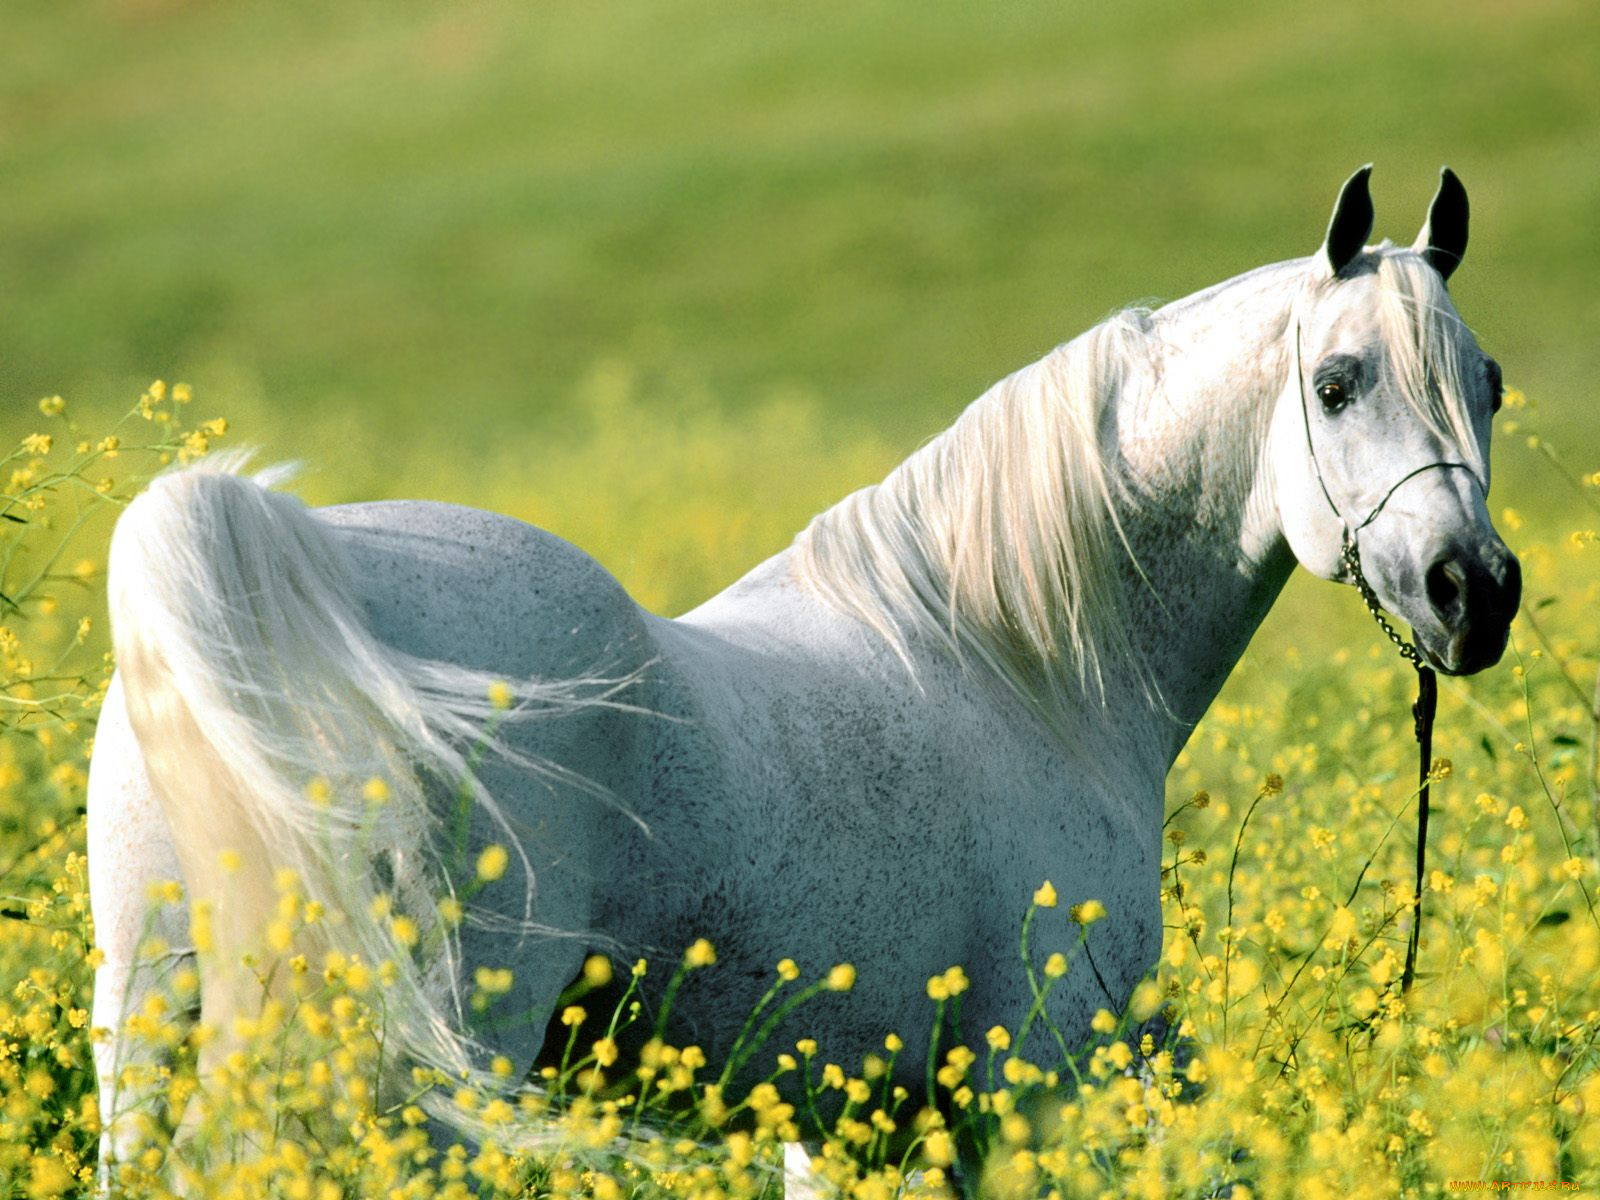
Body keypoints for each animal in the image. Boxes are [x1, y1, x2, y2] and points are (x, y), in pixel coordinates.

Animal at [86, 165, 1520, 1176]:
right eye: (1335, 383)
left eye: (1491, 385)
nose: (1477, 591)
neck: (1019, 668)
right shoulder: (1036, 1090)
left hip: (152, 1030)